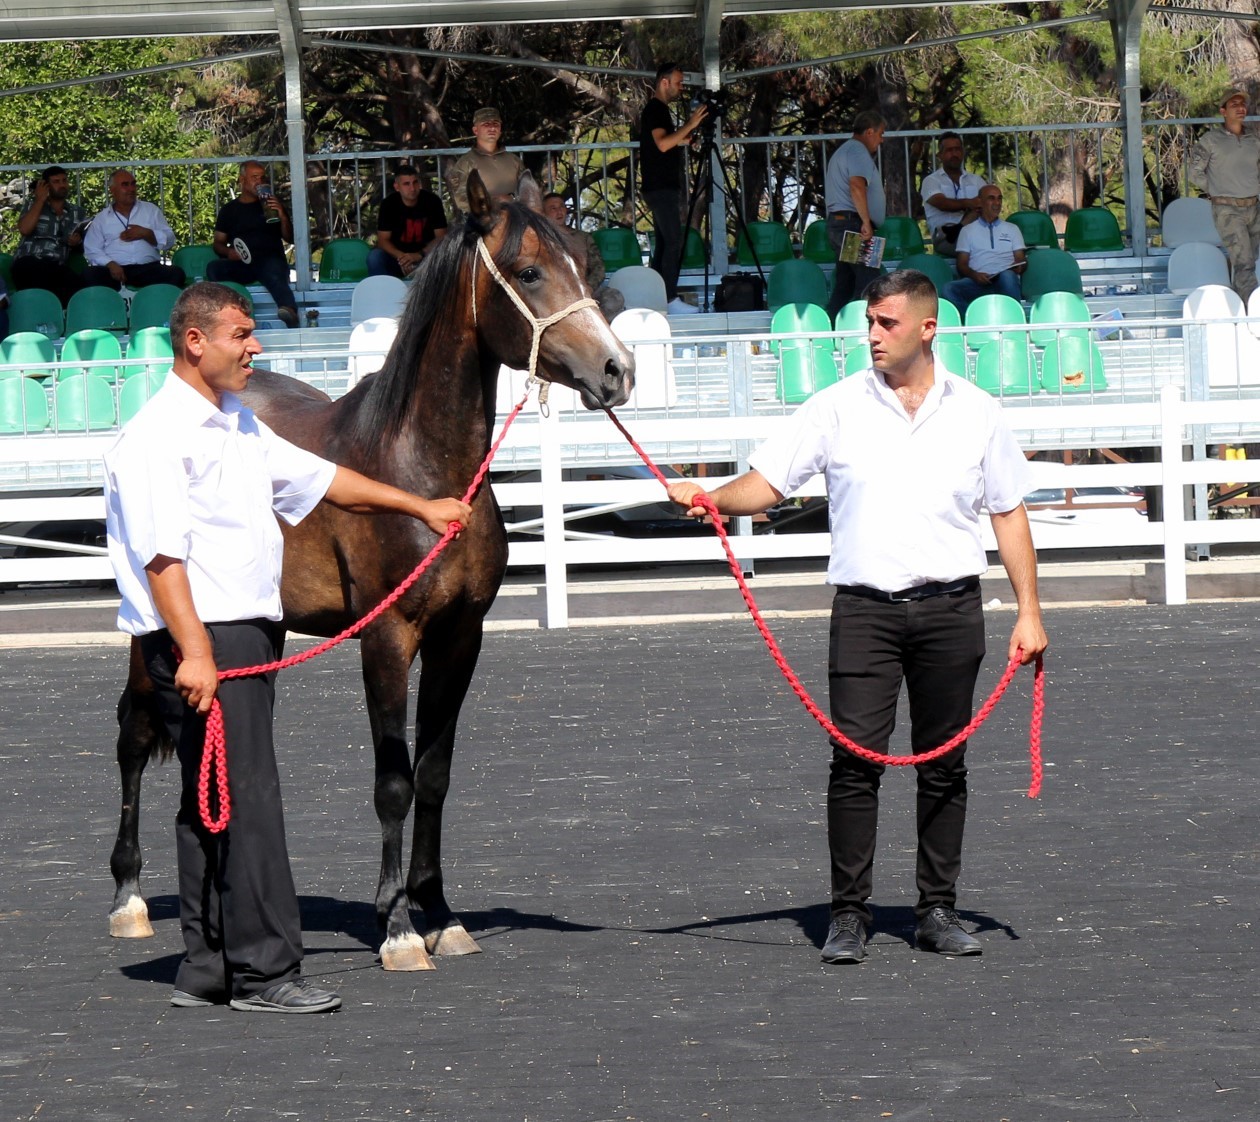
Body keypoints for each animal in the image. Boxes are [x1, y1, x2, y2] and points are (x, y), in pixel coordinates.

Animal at [107, 170, 635, 968]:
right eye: (529, 272)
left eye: (589, 265)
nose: (617, 371)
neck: (419, 468)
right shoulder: (388, 639)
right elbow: (393, 781)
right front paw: (398, 927)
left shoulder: (459, 639)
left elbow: (434, 775)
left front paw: (440, 913)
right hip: (156, 636)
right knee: (134, 736)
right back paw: (130, 899)